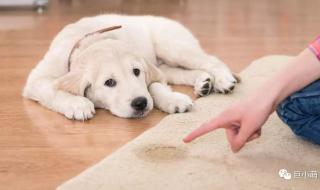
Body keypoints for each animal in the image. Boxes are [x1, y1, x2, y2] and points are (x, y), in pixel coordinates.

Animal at [23, 14, 238, 119]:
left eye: (136, 72)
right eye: (109, 82)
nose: (140, 103)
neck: (91, 40)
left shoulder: (149, 70)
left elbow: (155, 86)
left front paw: (172, 100)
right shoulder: (37, 80)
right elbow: (53, 90)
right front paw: (78, 104)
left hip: (173, 47)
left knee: (211, 60)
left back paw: (222, 80)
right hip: (166, 64)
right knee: (179, 73)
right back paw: (203, 82)